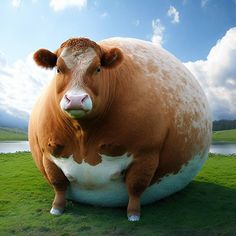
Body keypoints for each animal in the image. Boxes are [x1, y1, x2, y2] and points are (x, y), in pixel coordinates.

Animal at [29, 37, 212, 221]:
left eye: (98, 68)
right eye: (58, 69)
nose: (75, 99)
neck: (83, 132)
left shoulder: (146, 152)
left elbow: (136, 186)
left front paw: (133, 215)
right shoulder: (48, 153)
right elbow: (58, 183)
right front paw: (56, 208)